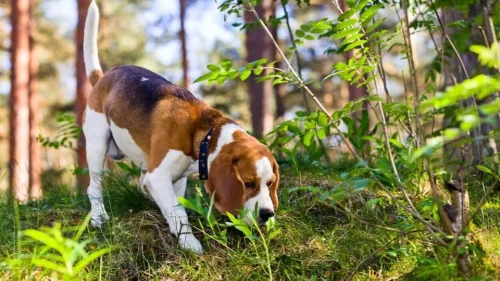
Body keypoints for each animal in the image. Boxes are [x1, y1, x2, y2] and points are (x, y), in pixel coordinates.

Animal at [80, 0, 280, 253]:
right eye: (248, 183)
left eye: (270, 183)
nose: (267, 214)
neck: (203, 136)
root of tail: (102, 78)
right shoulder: (159, 176)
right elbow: (178, 212)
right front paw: (189, 243)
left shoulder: (177, 179)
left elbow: (176, 206)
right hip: (97, 143)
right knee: (94, 187)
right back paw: (98, 217)